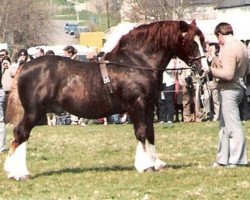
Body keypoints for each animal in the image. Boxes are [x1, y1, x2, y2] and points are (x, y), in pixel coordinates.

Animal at [4, 19, 207, 180]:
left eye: (203, 41)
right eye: (190, 41)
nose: (204, 70)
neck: (136, 63)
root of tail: (24, 66)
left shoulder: (149, 106)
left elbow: (150, 133)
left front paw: (157, 163)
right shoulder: (137, 105)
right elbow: (141, 132)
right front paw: (144, 165)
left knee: (21, 135)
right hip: (34, 111)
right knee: (20, 133)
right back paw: (19, 173)